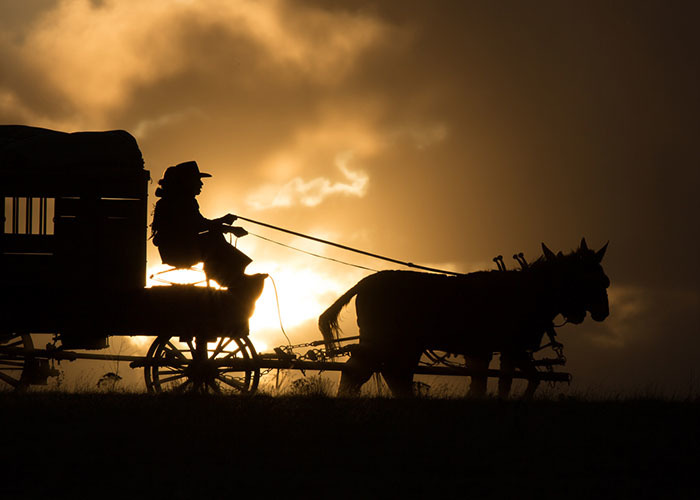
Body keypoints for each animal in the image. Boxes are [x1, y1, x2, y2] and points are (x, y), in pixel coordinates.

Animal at [320, 238, 608, 398]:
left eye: (605, 280)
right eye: (589, 280)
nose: (602, 313)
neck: (530, 291)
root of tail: (366, 282)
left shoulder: (489, 351)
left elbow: (493, 383)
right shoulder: (513, 348)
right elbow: (525, 379)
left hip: (401, 344)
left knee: (384, 373)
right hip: (388, 341)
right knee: (367, 372)